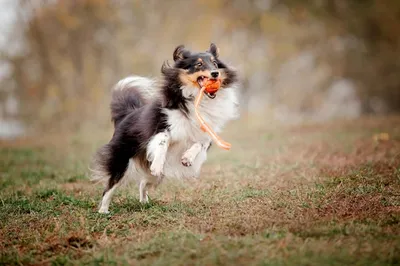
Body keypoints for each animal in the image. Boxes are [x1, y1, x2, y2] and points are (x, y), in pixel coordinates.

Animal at [90, 43, 239, 214]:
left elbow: (200, 143)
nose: (215, 73)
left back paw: (144, 202)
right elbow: (163, 140)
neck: (198, 99)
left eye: (215, 63)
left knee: (143, 182)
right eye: (199, 64)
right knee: (110, 186)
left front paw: (187, 158)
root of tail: (128, 113)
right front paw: (157, 164)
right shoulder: (162, 126)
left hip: (152, 175)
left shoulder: (206, 131)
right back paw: (103, 211)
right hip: (121, 159)